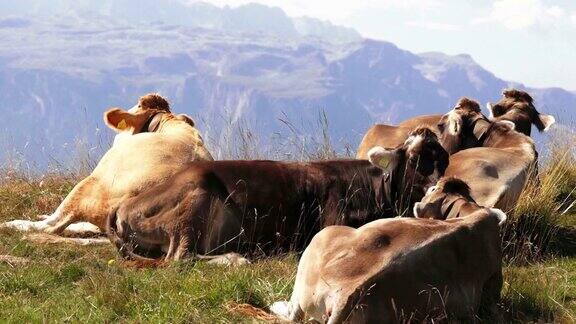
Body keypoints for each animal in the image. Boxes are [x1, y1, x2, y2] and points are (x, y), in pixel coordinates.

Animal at [106, 126, 450, 264]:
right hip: (194, 203)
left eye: (444, 159)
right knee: (180, 257)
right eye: (415, 158)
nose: (436, 190)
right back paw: (236, 258)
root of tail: (123, 206)